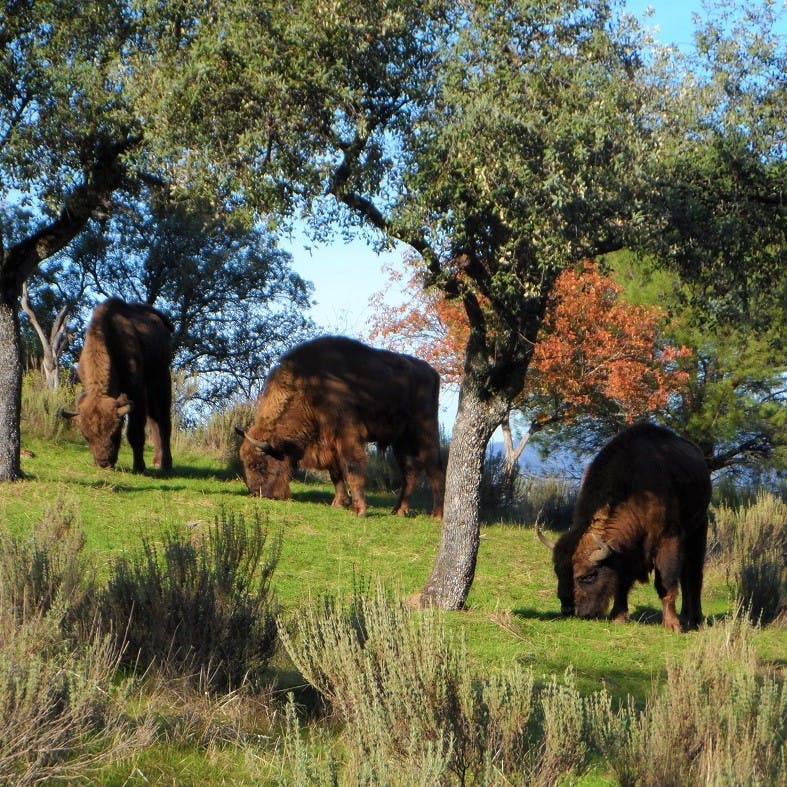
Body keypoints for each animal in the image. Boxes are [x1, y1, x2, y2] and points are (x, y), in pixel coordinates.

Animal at [60, 298, 173, 474]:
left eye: (115, 434)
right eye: (87, 437)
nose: (103, 462)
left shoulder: (137, 392)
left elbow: (135, 432)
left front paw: (139, 467)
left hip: (161, 381)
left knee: (163, 421)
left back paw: (165, 464)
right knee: (154, 420)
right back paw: (156, 461)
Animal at [234, 338, 446, 516]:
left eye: (259, 464)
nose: (256, 492)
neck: (309, 387)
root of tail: (431, 372)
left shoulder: (347, 434)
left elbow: (352, 467)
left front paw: (359, 510)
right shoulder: (327, 442)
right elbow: (335, 472)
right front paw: (338, 503)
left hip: (425, 432)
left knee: (434, 469)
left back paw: (436, 515)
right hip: (401, 440)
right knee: (410, 472)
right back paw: (398, 511)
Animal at [540, 422, 712, 632]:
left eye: (588, 576)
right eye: (558, 571)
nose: (568, 609)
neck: (636, 491)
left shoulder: (668, 539)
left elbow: (666, 582)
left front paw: (672, 625)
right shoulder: (626, 550)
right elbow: (622, 582)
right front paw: (618, 617)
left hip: (699, 528)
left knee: (693, 575)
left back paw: (694, 620)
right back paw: (687, 617)